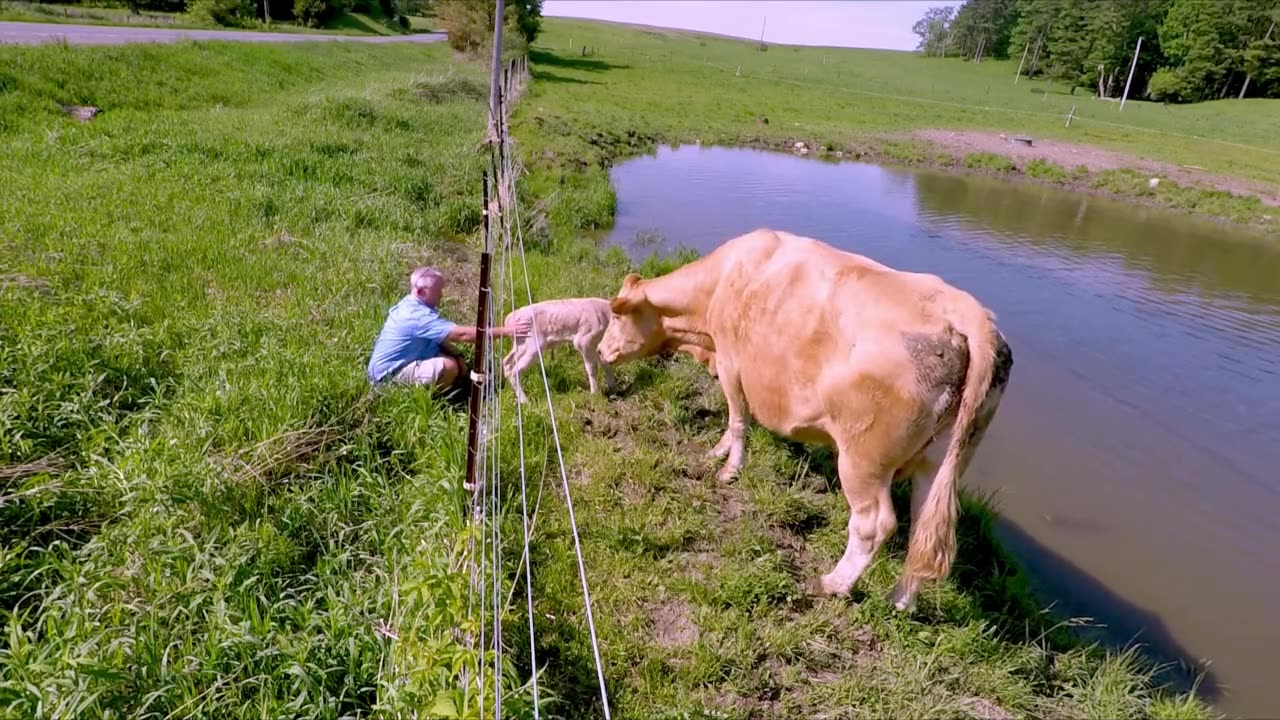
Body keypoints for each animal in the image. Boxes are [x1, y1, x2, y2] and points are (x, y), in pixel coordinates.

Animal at [596, 226, 1008, 607]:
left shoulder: (731, 362)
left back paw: (834, 583)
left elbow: (737, 417)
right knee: (922, 528)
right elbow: (733, 419)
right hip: (940, 461)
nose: (600, 350)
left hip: (864, 459)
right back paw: (900, 602)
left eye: (615, 317)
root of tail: (971, 315)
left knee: (874, 524)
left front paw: (729, 469)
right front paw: (718, 451)